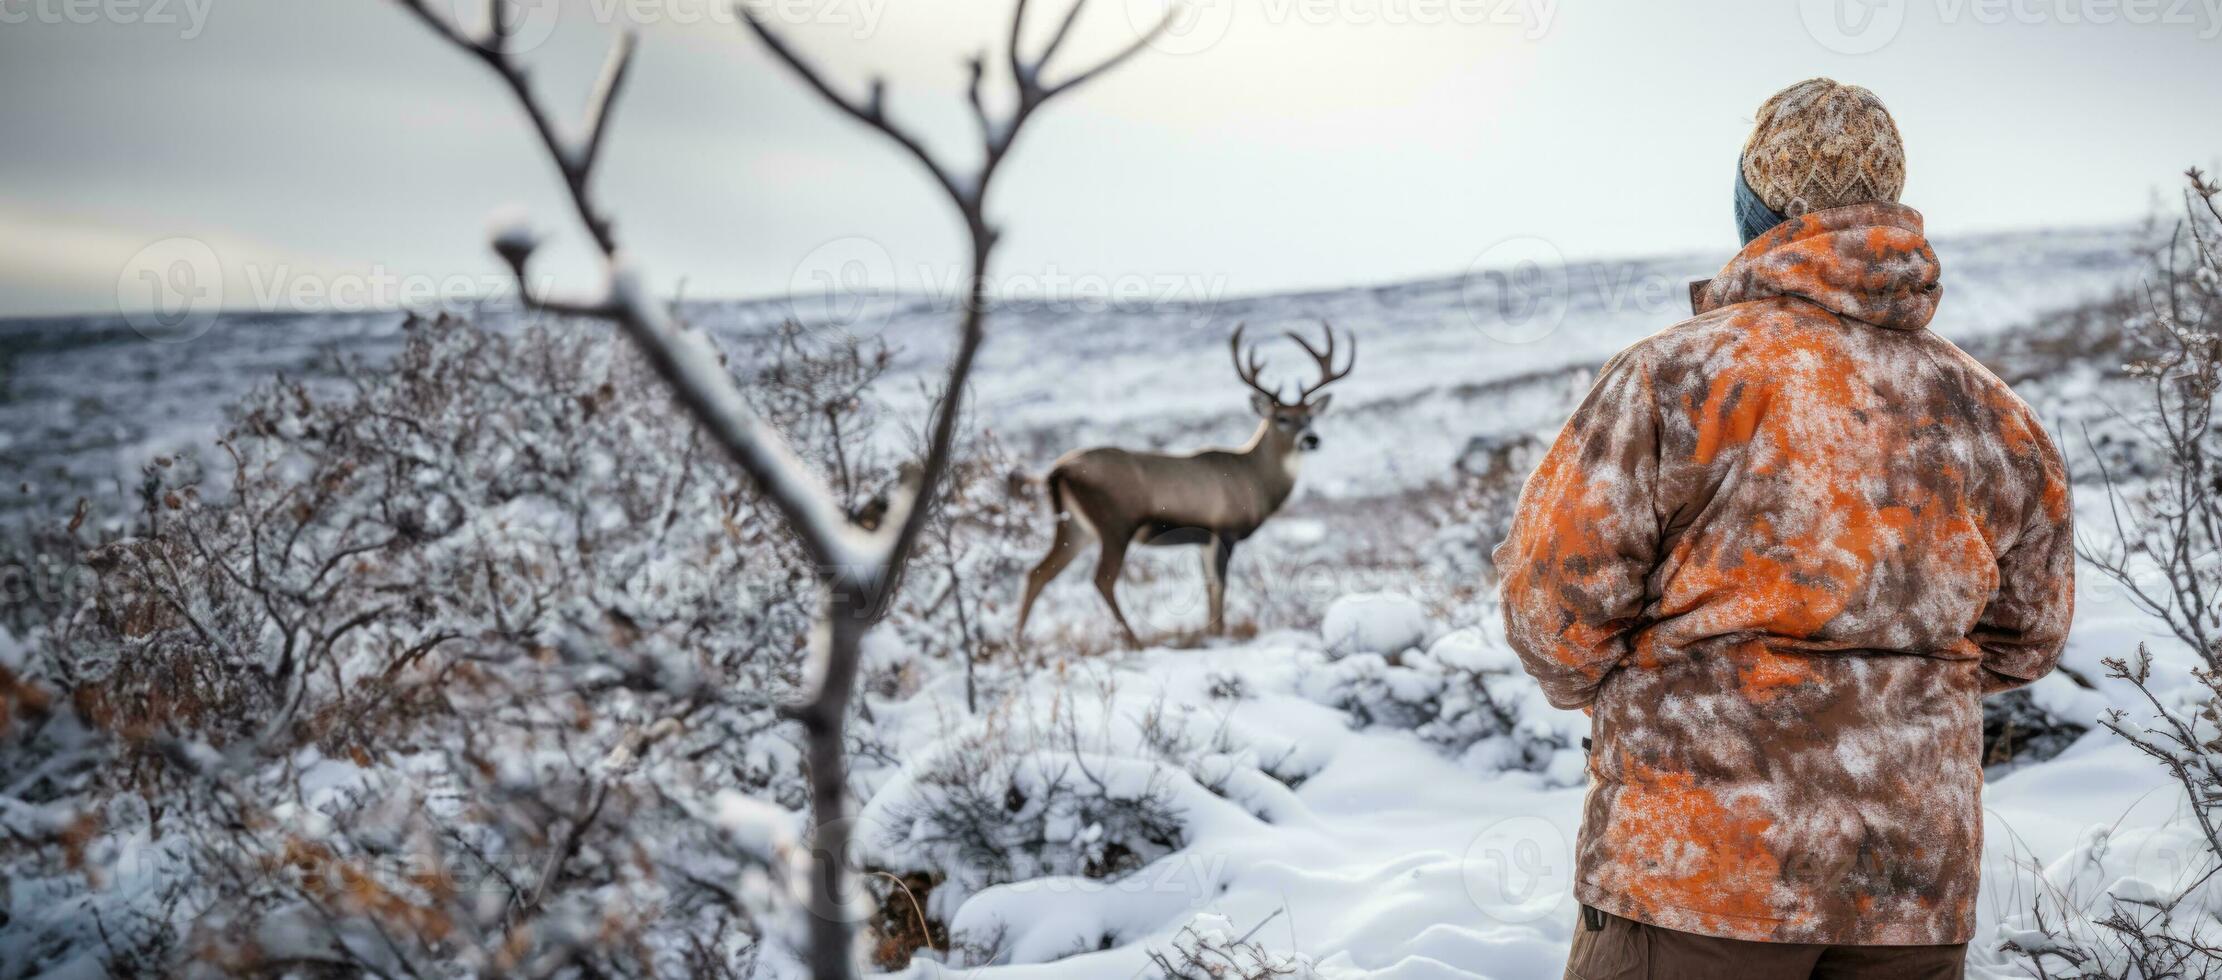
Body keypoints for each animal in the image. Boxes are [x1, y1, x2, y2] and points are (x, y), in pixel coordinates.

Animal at [1013, 322, 1350, 648]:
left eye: (1309, 417)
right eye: (1281, 417)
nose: (1311, 439)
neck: (1255, 481)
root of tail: (1057, 470)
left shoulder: (1203, 539)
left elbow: (1209, 587)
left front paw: (1211, 632)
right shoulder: (1224, 530)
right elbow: (1219, 586)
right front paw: (1219, 634)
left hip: (1075, 527)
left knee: (1038, 572)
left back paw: (1018, 642)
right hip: (1115, 523)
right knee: (1102, 579)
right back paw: (1134, 641)